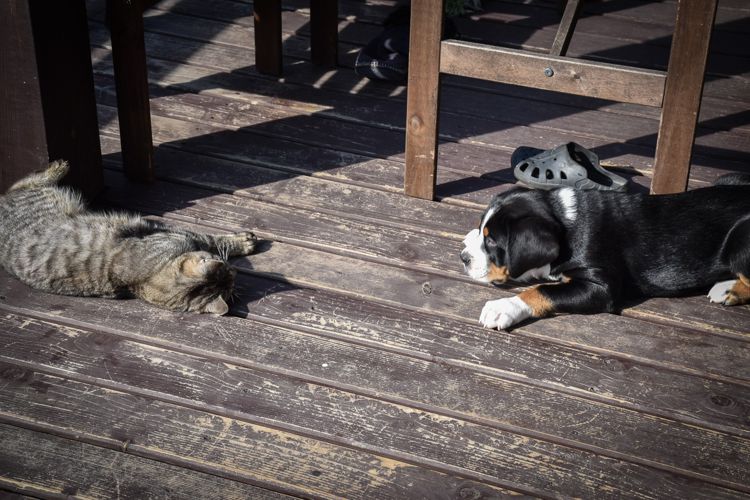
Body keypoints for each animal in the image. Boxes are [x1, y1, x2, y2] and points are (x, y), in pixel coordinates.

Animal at [0, 162, 258, 314]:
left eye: (232, 282)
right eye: (226, 267)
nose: (235, 271)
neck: (144, 282)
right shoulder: (171, 234)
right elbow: (207, 238)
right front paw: (241, 242)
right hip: (40, 196)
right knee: (21, 183)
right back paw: (57, 167)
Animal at [462, 174, 750, 330]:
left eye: (493, 243)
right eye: (483, 231)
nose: (463, 258)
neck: (566, 221)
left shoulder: (601, 287)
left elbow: (541, 290)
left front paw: (504, 307)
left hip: (740, 240)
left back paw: (730, 290)